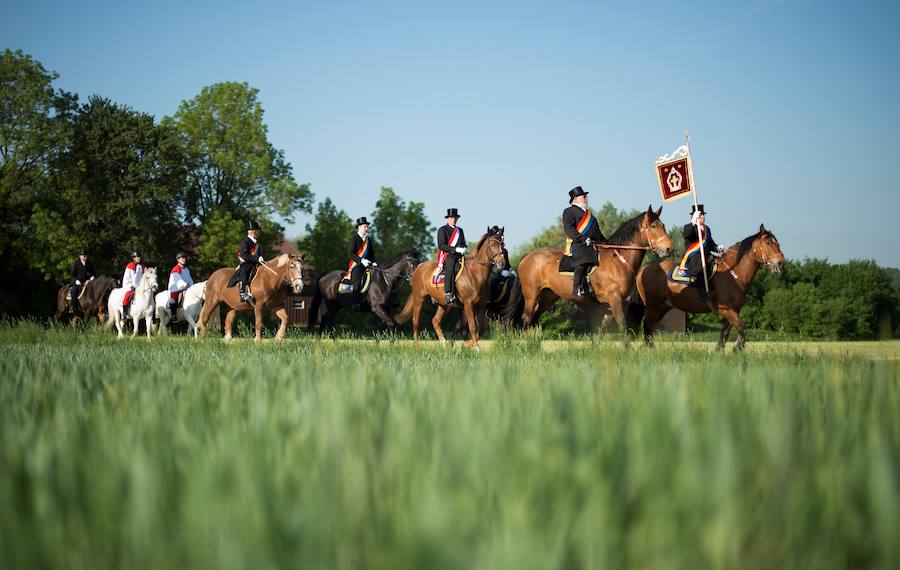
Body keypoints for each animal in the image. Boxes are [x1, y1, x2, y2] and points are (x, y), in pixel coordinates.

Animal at [516, 204, 672, 332]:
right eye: (653, 226)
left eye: (663, 225)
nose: (669, 248)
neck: (618, 261)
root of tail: (528, 256)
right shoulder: (615, 300)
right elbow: (622, 326)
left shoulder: (608, 307)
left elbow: (600, 332)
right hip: (531, 295)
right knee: (527, 318)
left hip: (548, 296)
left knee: (534, 318)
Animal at [636, 223, 784, 348]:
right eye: (768, 242)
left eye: (777, 243)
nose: (781, 263)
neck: (733, 274)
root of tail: (643, 269)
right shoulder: (726, 310)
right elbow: (742, 329)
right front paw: (737, 349)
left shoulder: (734, 311)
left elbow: (725, 334)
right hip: (653, 307)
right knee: (647, 326)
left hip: (662, 307)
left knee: (649, 328)